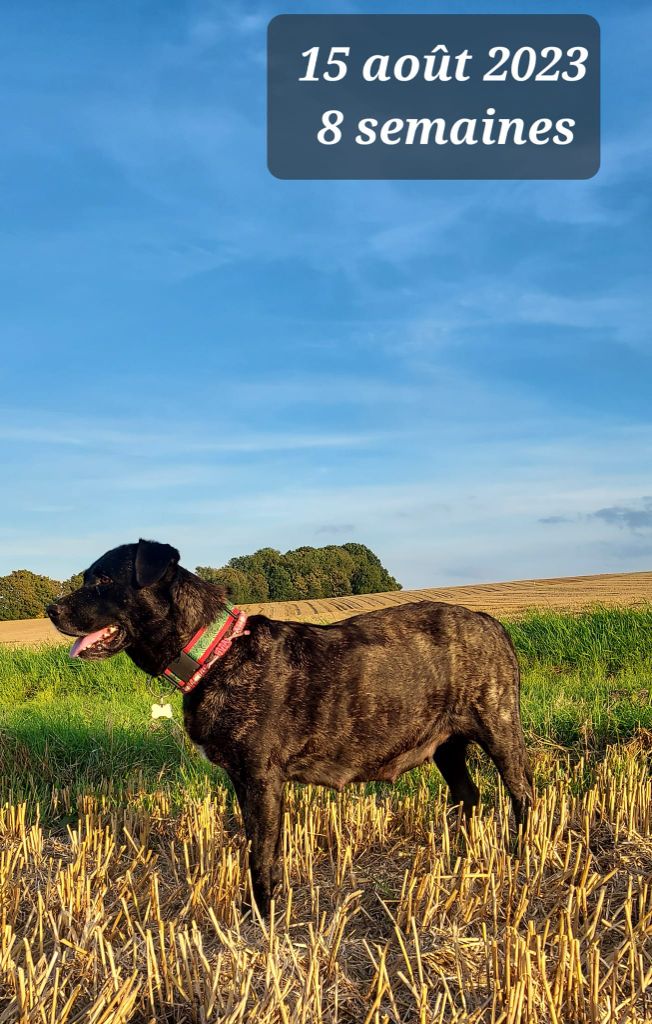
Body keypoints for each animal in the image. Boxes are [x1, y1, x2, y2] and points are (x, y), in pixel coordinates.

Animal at [47, 540, 532, 917]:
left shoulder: (262, 779)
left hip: (499, 728)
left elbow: (262, 854)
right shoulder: (242, 781)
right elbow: (253, 847)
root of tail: (490, 622)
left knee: (522, 795)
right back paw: (460, 854)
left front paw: (261, 916)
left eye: (102, 581)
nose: (51, 608)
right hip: (445, 745)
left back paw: (521, 853)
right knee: (467, 795)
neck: (216, 652)